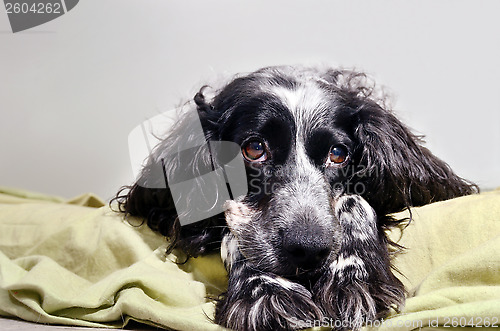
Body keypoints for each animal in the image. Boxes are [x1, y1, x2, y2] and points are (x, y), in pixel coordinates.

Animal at [115, 66, 478, 330]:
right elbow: (237, 234)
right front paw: (265, 292)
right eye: (254, 148)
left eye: (338, 154)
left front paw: (352, 279)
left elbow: (355, 203)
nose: (309, 250)